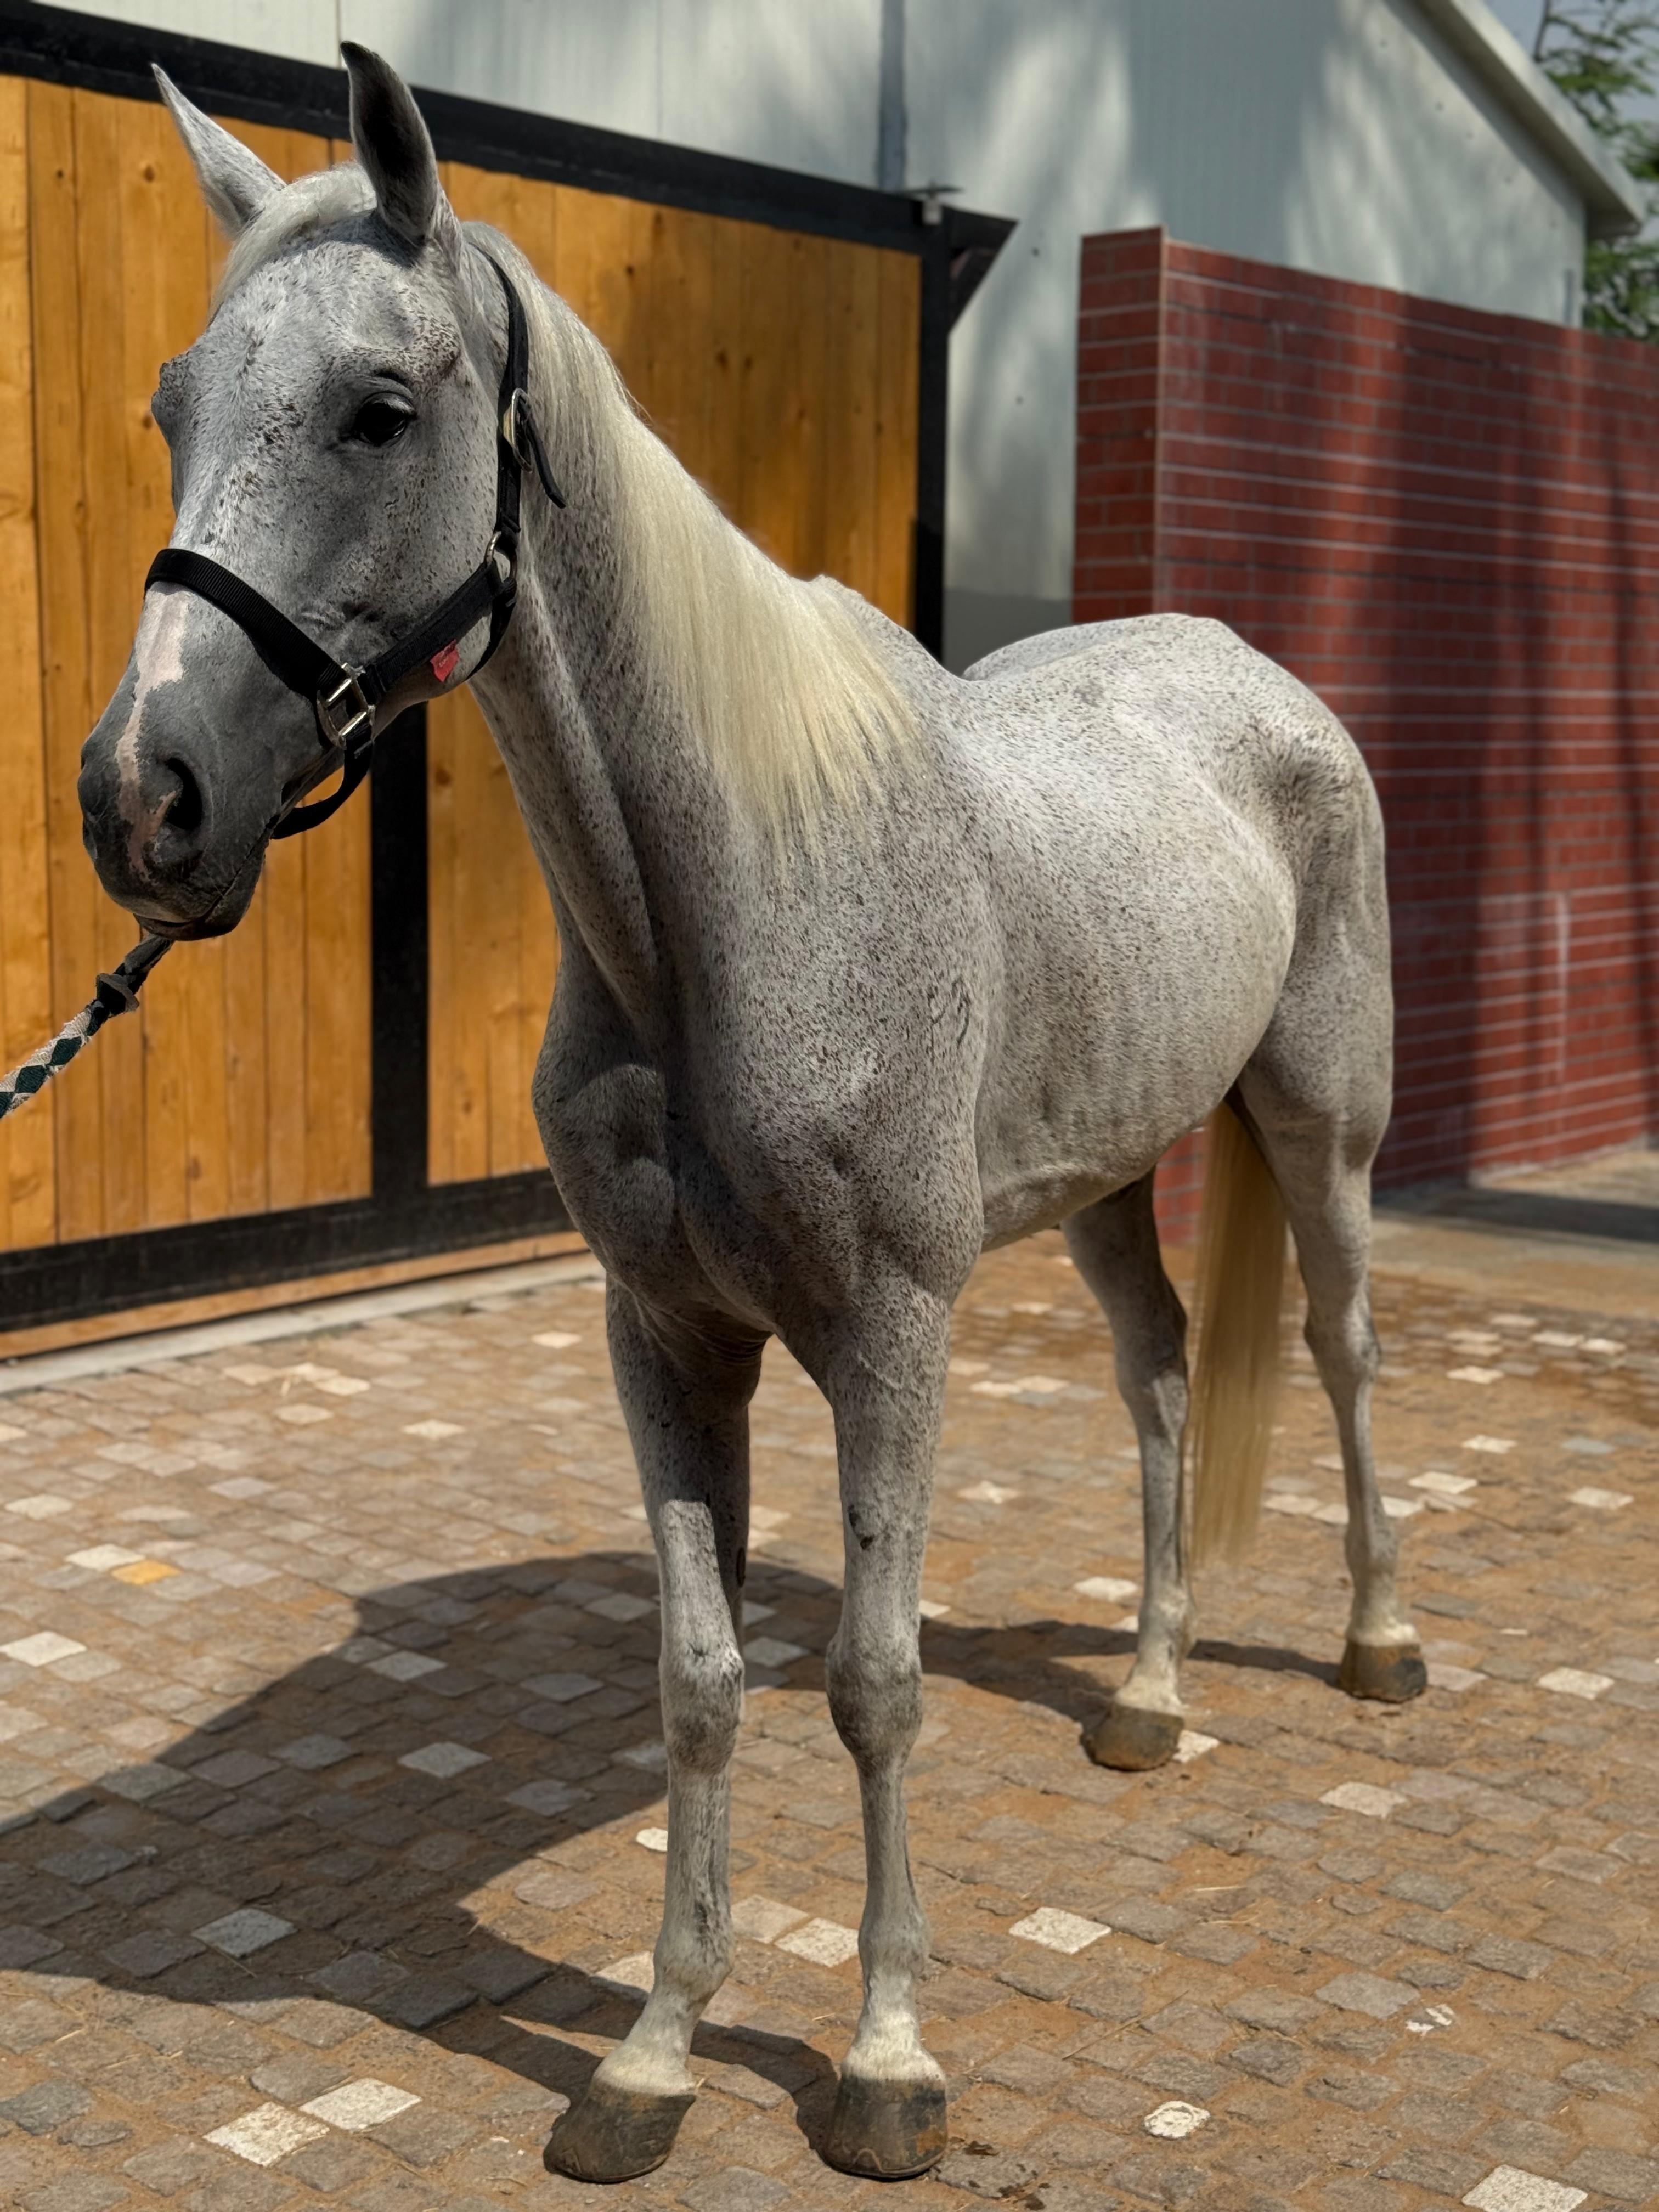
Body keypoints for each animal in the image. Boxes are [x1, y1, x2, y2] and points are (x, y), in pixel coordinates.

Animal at [75, 49, 1424, 2186]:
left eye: (381, 407)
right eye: (173, 406)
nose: (146, 797)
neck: (732, 896)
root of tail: (1243, 671)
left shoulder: (888, 1329)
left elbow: (872, 1681)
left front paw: (884, 2064)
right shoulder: (667, 1335)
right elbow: (702, 1683)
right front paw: (646, 2059)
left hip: (1321, 1124)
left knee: (1350, 1348)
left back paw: (1376, 1647)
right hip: (1108, 1176)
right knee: (1156, 1381)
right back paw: (1142, 1695)